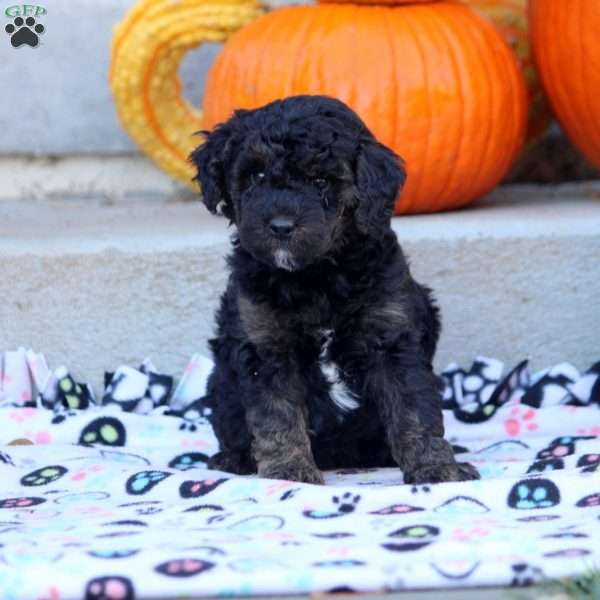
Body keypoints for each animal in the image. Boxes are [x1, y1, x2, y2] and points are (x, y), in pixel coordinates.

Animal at [190, 95, 480, 488]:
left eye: (320, 180)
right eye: (256, 175)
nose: (280, 226)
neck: (315, 276)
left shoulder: (391, 335)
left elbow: (414, 408)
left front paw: (436, 468)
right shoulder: (266, 344)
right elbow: (277, 413)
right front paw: (289, 471)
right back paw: (232, 459)